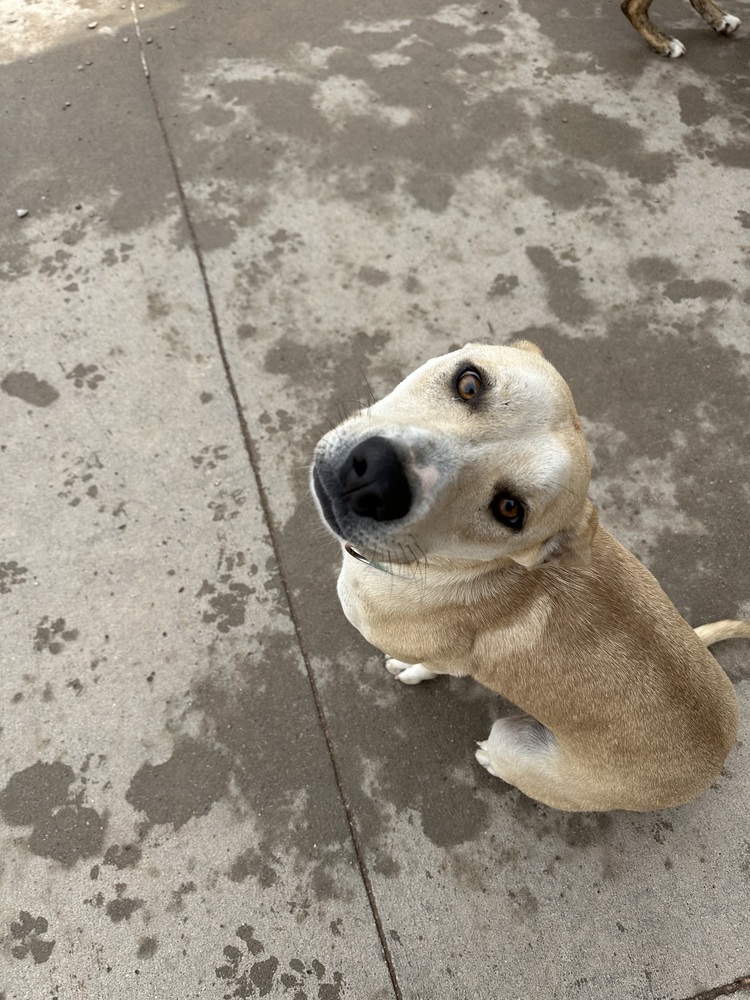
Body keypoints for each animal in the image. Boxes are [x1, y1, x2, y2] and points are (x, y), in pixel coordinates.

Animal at [312, 344, 750, 812]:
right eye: (469, 383)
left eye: (509, 510)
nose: (376, 478)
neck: (445, 570)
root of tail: (715, 760)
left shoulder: (443, 659)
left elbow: (427, 665)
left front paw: (411, 671)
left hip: (512, 743)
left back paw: (489, 759)